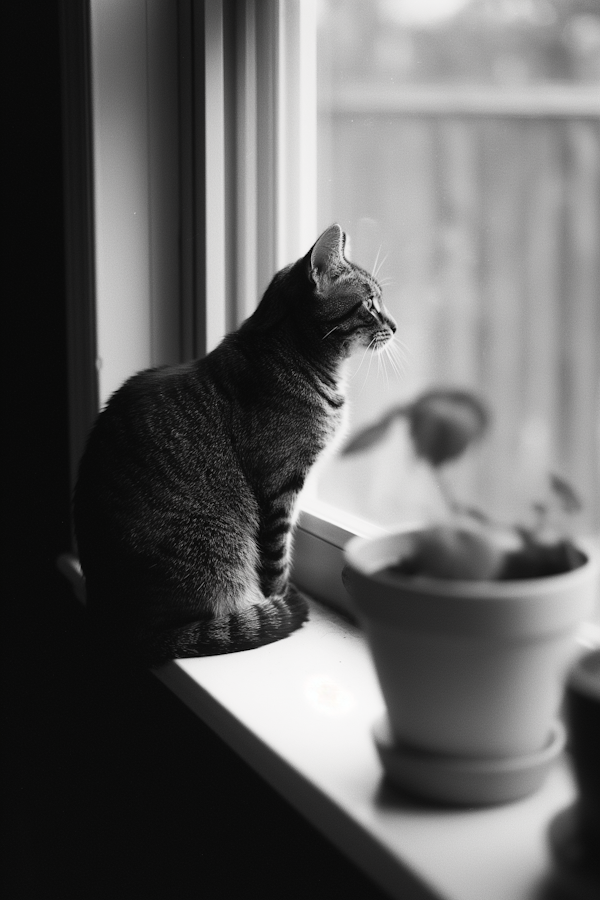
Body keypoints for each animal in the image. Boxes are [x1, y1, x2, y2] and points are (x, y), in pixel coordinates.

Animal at [72, 221, 396, 664]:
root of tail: (119, 626)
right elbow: (277, 557)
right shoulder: (280, 486)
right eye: (370, 304)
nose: (395, 326)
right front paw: (276, 598)